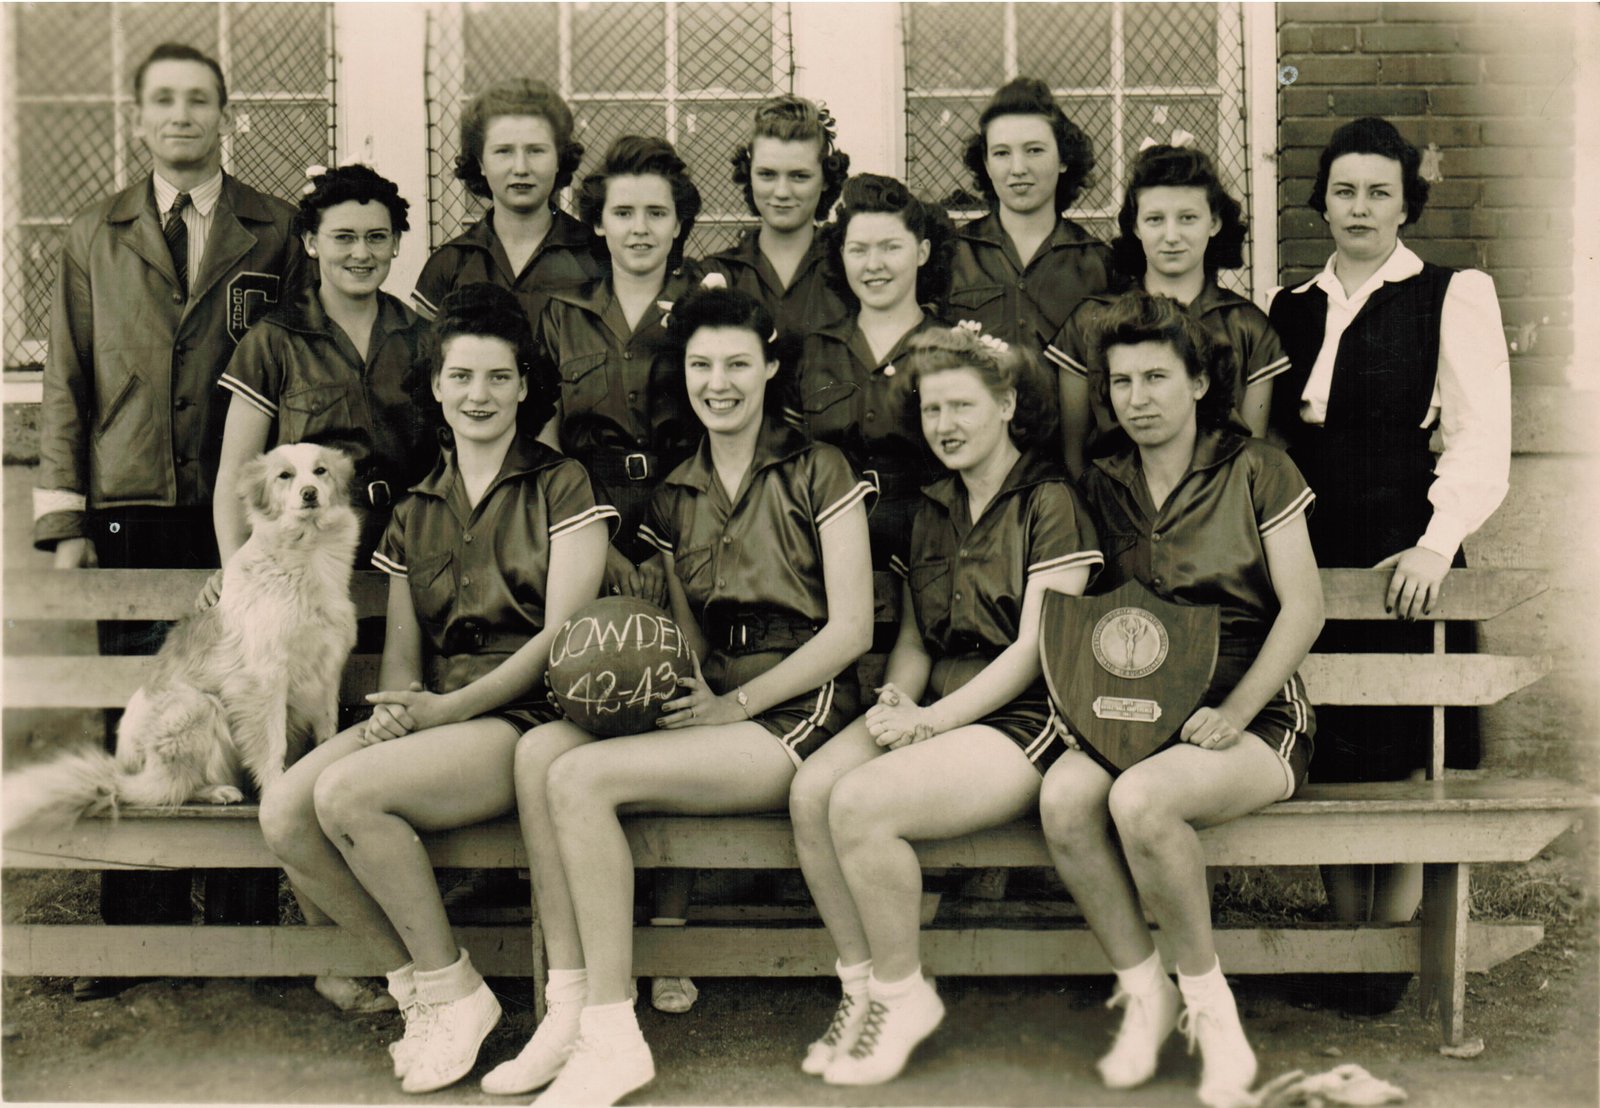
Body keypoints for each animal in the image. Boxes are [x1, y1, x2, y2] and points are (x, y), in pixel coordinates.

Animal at [4, 441, 361, 832]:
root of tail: (124, 770)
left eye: (321, 471)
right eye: (285, 476)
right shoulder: (262, 680)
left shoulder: (327, 673)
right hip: (198, 705)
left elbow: (327, 735)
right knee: (167, 789)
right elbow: (272, 745)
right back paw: (215, 791)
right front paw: (276, 792)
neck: (303, 556)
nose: (309, 493)